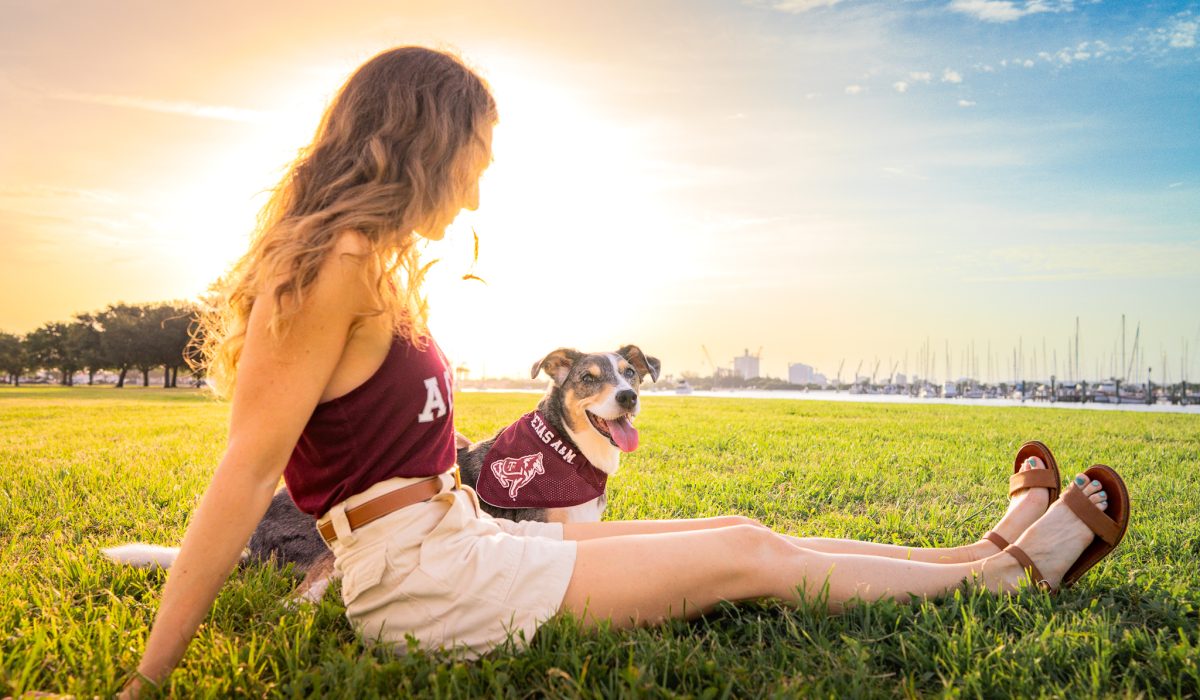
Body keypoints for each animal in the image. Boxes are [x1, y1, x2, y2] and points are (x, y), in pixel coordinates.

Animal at [104, 343, 662, 605]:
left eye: (630, 374)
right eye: (589, 378)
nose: (627, 397)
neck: (570, 451)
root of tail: (252, 543)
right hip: (329, 547)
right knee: (305, 591)